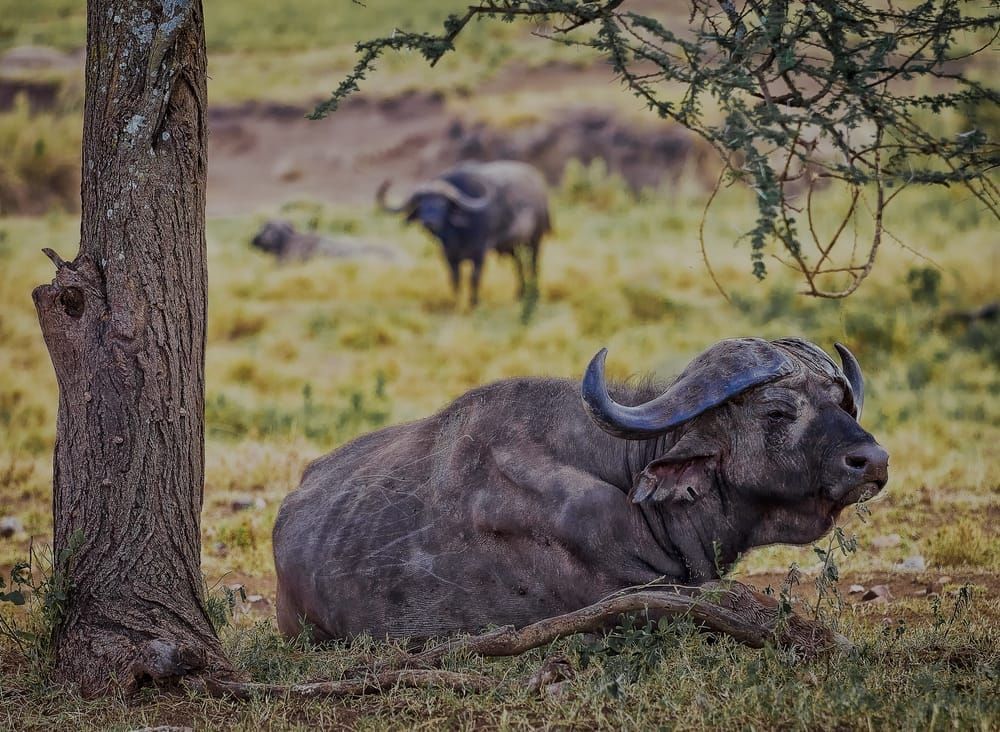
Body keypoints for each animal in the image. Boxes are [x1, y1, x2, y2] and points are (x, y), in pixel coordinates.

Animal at [376, 160, 551, 306]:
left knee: (534, 264)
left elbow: (474, 278)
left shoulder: (480, 253)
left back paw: (535, 293)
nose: (429, 222)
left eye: (443, 204)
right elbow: (455, 280)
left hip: (536, 238)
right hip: (510, 247)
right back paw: (519, 294)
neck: (459, 235)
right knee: (518, 265)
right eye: (421, 204)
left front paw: (474, 302)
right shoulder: (449, 257)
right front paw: (457, 302)